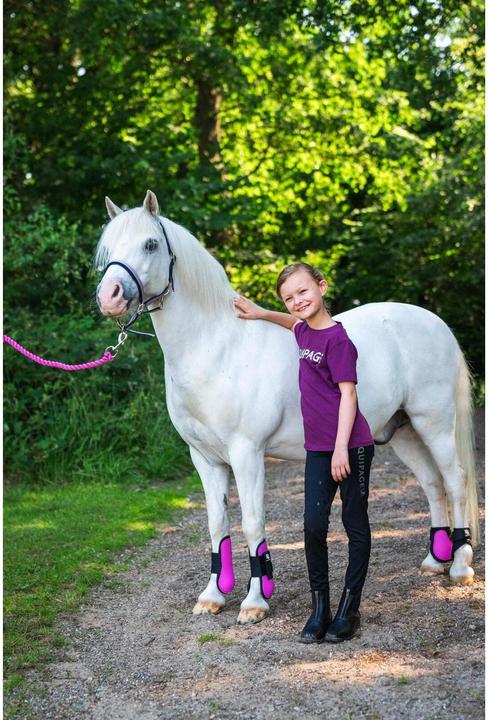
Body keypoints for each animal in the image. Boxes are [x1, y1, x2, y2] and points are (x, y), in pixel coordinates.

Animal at [95, 190, 479, 625]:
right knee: (432, 484)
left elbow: (252, 522)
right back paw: (434, 561)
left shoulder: (247, 454)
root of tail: (435, 322)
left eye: (150, 244)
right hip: (401, 431)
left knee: (454, 480)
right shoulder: (204, 458)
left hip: (434, 424)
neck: (215, 348)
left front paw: (254, 602)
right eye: (108, 247)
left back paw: (460, 566)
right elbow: (216, 524)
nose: (108, 297)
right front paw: (212, 596)